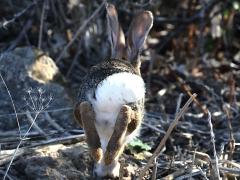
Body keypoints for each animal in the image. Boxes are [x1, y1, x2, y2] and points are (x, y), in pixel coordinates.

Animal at [73, 3, 153, 178]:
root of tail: (112, 85)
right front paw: (110, 169)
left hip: (83, 103)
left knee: (85, 109)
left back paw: (97, 155)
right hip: (134, 113)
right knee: (124, 116)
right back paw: (108, 158)